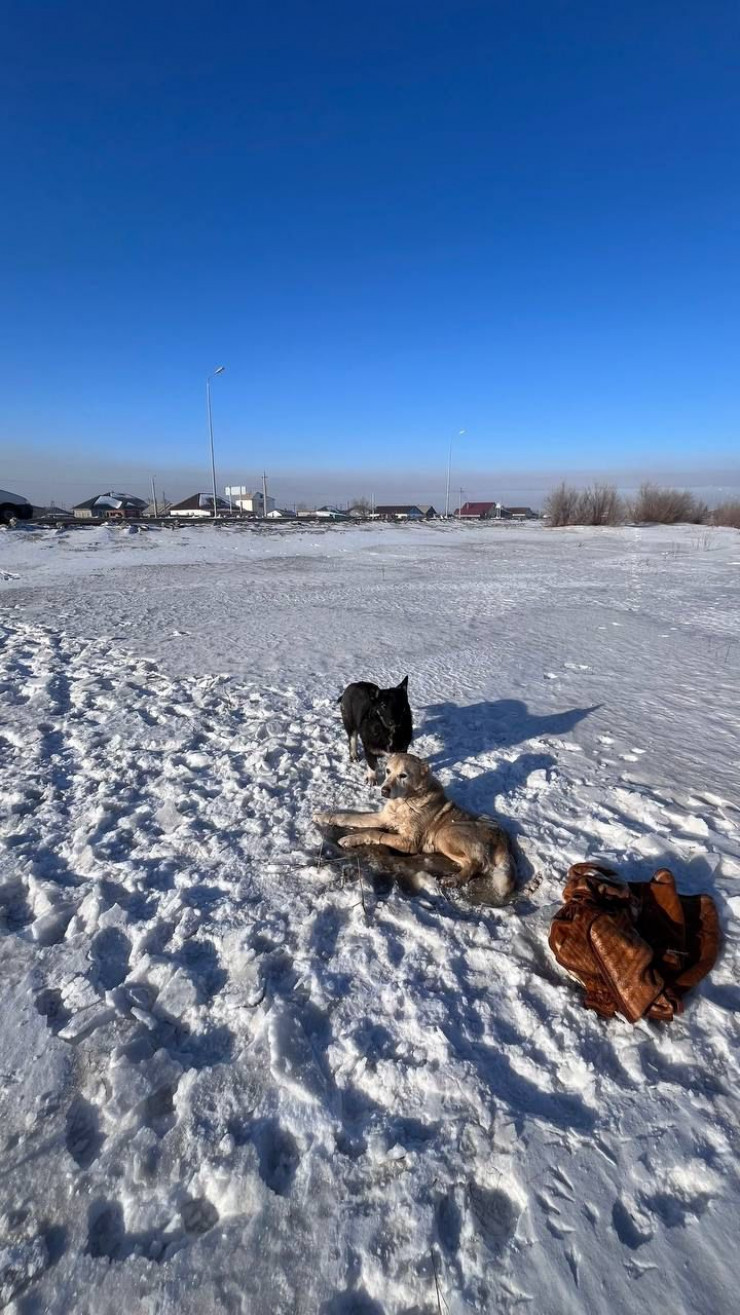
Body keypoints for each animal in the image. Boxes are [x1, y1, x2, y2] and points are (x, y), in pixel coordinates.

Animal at [315, 757, 517, 899]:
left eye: (403, 775)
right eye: (387, 771)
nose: (384, 790)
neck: (406, 800)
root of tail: (502, 838)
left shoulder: (410, 843)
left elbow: (374, 832)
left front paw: (349, 839)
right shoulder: (382, 817)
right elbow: (349, 817)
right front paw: (323, 816)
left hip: (445, 833)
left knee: (474, 863)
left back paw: (453, 880)